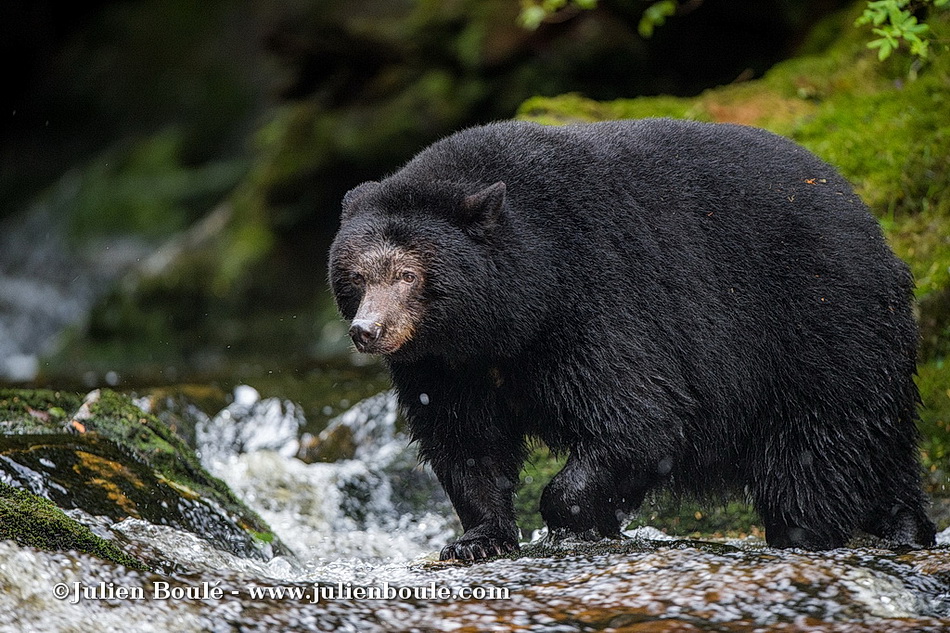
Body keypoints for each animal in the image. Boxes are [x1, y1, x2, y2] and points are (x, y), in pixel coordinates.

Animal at [330, 117, 940, 556]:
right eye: (355, 274)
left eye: (408, 274)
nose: (368, 331)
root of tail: (873, 228)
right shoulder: (445, 364)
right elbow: (466, 442)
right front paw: (478, 539)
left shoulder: (597, 299)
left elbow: (638, 416)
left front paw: (580, 520)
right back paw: (906, 525)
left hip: (822, 334)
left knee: (816, 453)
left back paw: (807, 533)